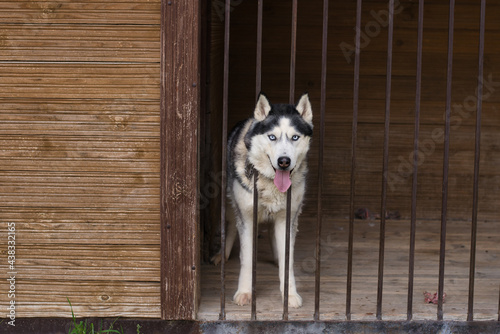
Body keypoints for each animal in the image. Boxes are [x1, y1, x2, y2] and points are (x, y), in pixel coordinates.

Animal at [214, 92, 312, 306]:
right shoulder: (246, 217)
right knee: (231, 225)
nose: (284, 161)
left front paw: (289, 295)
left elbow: (287, 260)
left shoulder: (288, 218)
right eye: (272, 137)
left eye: (295, 137)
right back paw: (222, 255)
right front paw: (244, 292)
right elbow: (246, 258)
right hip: (231, 203)